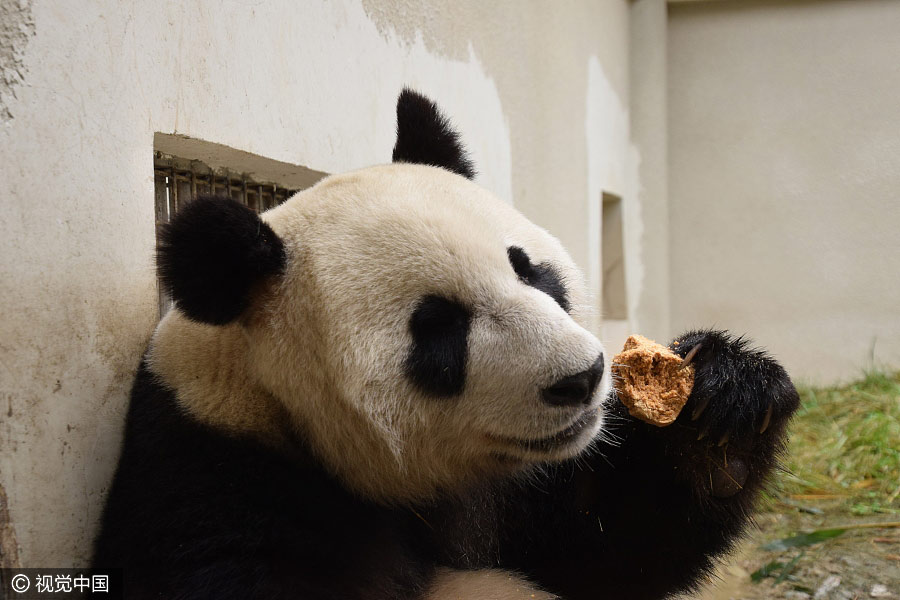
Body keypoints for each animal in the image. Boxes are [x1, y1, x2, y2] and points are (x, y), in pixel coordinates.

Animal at [95, 90, 800, 600]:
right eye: (439, 331)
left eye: (529, 270)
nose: (584, 377)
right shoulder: (214, 489)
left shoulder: (510, 498)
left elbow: (606, 551)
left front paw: (724, 404)